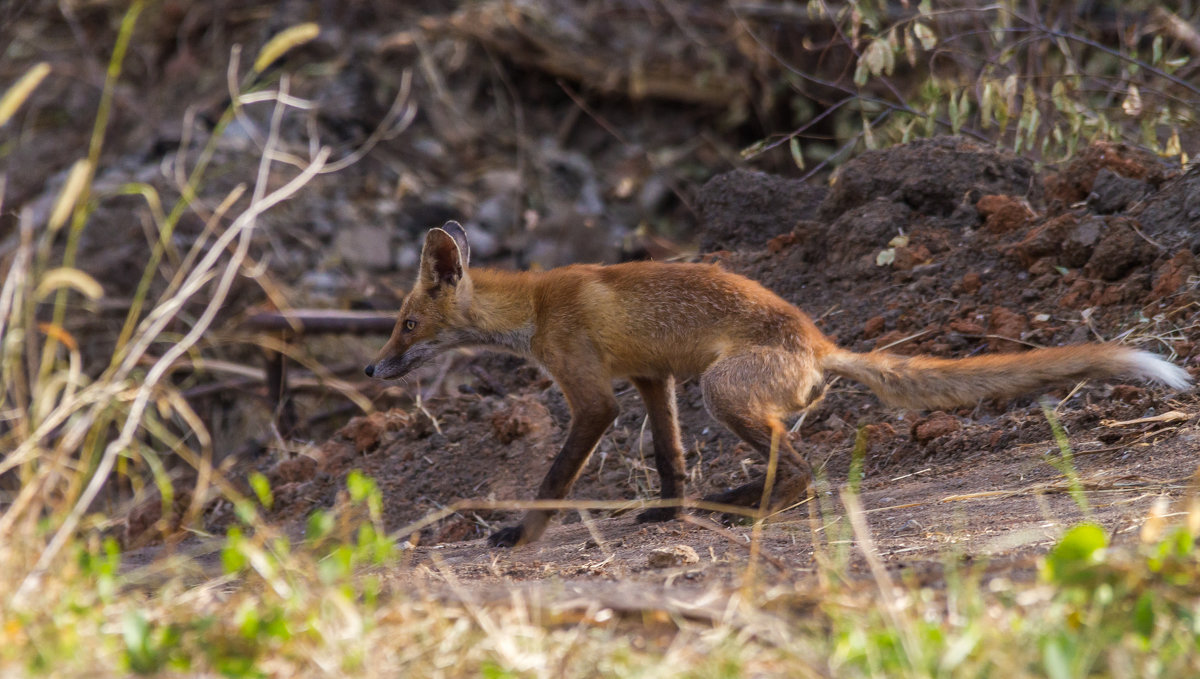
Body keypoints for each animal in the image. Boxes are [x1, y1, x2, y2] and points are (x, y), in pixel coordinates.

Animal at [364, 223, 1190, 549]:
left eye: (405, 323)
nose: (372, 370)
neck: (534, 307)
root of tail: (821, 342)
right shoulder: (652, 378)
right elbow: (669, 457)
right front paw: (668, 512)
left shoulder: (593, 393)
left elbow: (556, 477)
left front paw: (519, 535)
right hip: (722, 394)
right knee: (790, 466)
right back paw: (722, 503)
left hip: (722, 391)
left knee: (805, 472)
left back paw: (741, 507)